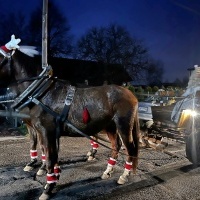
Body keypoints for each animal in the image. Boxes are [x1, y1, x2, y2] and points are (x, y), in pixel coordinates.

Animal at [0, 46, 140, 198]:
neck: (41, 94)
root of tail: (131, 94)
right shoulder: (40, 130)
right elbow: (48, 152)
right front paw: (51, 177)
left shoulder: (46, 131)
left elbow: (49, 156)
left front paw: (48, 187)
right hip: (110, 126)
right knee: (115, 146)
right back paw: (107, 170)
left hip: (123, 125)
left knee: (130, 148)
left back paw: (124, 175)